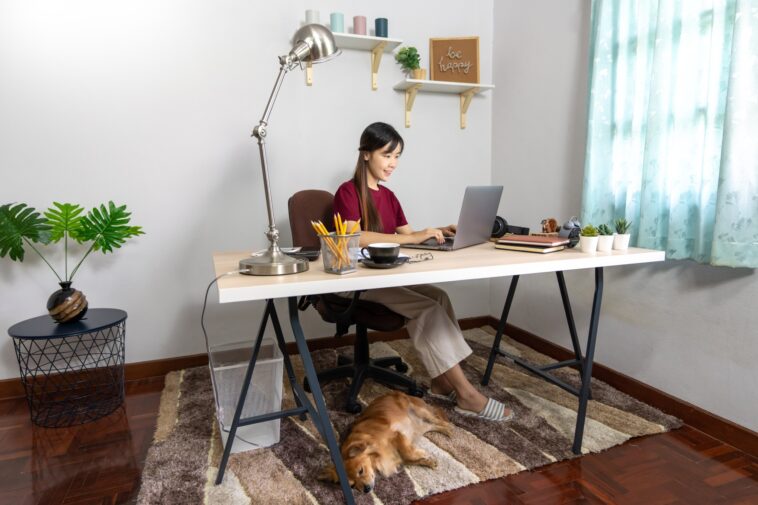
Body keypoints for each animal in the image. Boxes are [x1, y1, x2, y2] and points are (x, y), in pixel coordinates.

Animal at [320, 390, 454, 492]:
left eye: (361, 471)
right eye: (352, 485)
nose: (366, 489)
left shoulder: (396, 435)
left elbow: (408, 452)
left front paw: (424, 454)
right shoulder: (399, 457)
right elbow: (411, 459)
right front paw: (429, 461)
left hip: (419, 412)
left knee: (438, 420)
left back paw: (450, 429)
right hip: (420, 425)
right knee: (433, 426)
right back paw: (447, 431)